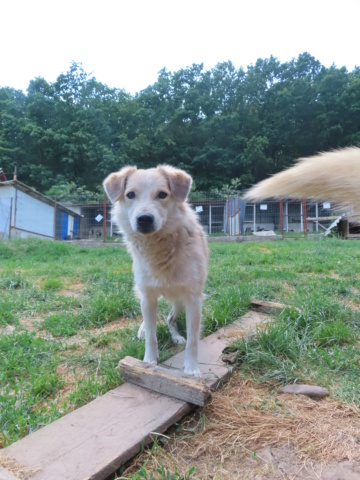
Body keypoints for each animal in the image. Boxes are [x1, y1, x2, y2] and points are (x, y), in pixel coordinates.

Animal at [102, 165, 208, 378]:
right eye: (130, 194)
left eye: (162, 194)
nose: (144, 219)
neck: (159, 248)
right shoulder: (148, 295)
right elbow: (151, 334)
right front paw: (148, 362)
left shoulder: (194, 298)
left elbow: (193, 338)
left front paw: (191, 368)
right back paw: (143, 330)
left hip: (179, 301)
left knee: (170, 318)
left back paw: (176, 337)